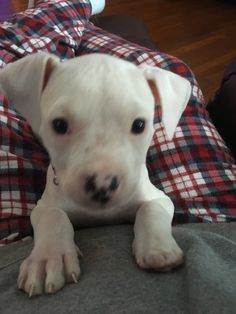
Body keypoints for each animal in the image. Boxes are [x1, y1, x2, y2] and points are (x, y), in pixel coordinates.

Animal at [0, 52, 192, 296]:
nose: (103, 184)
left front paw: (158, 248)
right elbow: (54, 216)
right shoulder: (44, 206)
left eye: (139, 125)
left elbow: (151, 208)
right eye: (59, 125)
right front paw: (48, 259)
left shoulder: (158, 197)